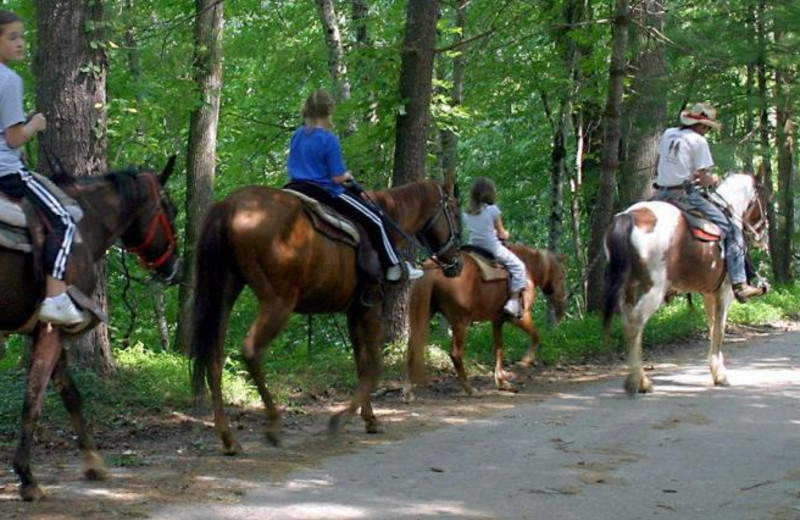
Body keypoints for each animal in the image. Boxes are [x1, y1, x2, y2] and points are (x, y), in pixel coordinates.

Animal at [1, 157, 180, 500]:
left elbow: (70, 394)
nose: (175, 268)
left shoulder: (48, 332)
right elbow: (34, 399)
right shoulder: (51, 330)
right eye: (172, 210)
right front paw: (27, 477)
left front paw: (93, 460)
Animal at [190, 179, 460, 456]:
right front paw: (342, 419)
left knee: (214, 358)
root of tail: (229, 206)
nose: (456, 262)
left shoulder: (356, 310)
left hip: (225, 294)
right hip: (278, 303)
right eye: (454, 210)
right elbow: (375, 364)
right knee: (251, 351)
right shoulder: (372, 308)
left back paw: (228, 438)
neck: (388, 215)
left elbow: (362, 363)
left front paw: (369, 418)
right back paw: (273, 425)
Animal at [404, 245, 564, 402]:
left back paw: (408, 392)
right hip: (461, 322)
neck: (528, 267)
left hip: (427, 314)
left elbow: (499, 348)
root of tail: (433, 268)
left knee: (413, 347)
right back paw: (470, 390)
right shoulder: (521, 316)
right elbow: (536, 336)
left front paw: (502, 382)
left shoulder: (497, 319)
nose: (561, 301)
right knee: (455, 354)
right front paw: (526, 361)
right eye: (562, 276)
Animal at [604, 171, 764, 394]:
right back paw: (636, 382)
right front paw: (721, 376)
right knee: (636, 323)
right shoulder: (724, 294)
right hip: (653, 290)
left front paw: (716, 370)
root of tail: (627, 218)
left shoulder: (709, 294)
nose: (763, 234)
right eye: (762, 201)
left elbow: (712, 327)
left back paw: (641, 379)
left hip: (628, 289)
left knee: (628, 323)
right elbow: (720, 330)